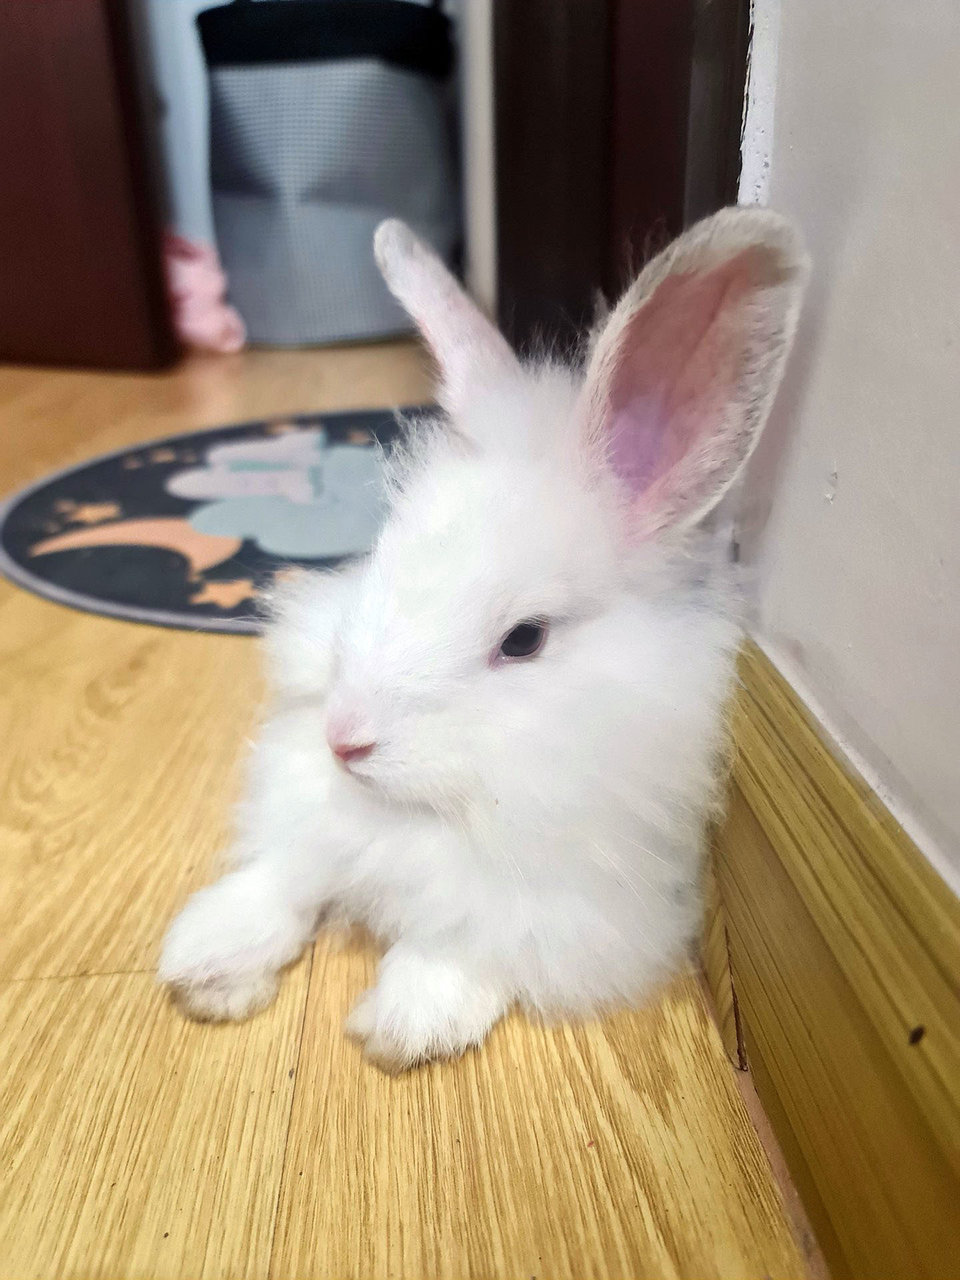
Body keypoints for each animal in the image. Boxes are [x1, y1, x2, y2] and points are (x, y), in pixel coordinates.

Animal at [161, 207, 808, 1070]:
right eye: (381, 559)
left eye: (524, 640)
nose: (345, 740)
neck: (424, 814)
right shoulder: (309, 822)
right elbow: (286, 877)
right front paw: (206, 964)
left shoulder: (559, 906)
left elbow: (469, 942)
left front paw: (406, 1024)